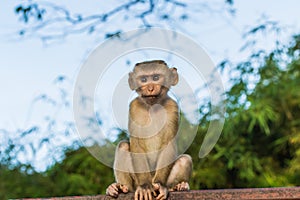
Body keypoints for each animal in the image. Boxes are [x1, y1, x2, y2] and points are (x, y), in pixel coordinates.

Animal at [106, 60, 193, 199]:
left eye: (156, 78)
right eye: (144, 80)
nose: (150, 88)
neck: (153, 106)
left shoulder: (172, 107)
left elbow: (168, 143)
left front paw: (160, 185)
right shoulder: (134, 107)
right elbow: (137, 143)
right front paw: (145, 186)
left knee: (185, 160)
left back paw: (179, 186)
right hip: (135, 182)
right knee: (123, 146)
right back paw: (120, 188)